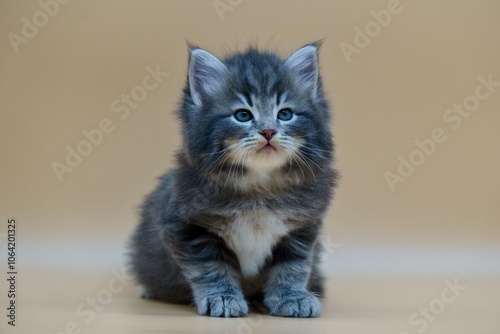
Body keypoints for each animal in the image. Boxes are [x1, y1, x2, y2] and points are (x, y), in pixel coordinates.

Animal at [129, 42, 340, 318]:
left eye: (285, 114)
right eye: (242, 115)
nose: (268, 131)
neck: (259, 189)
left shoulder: (301, 229)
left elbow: (292, 268)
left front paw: (292, 297)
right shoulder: (186, 227)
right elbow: (210, 269)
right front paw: (222, 298)